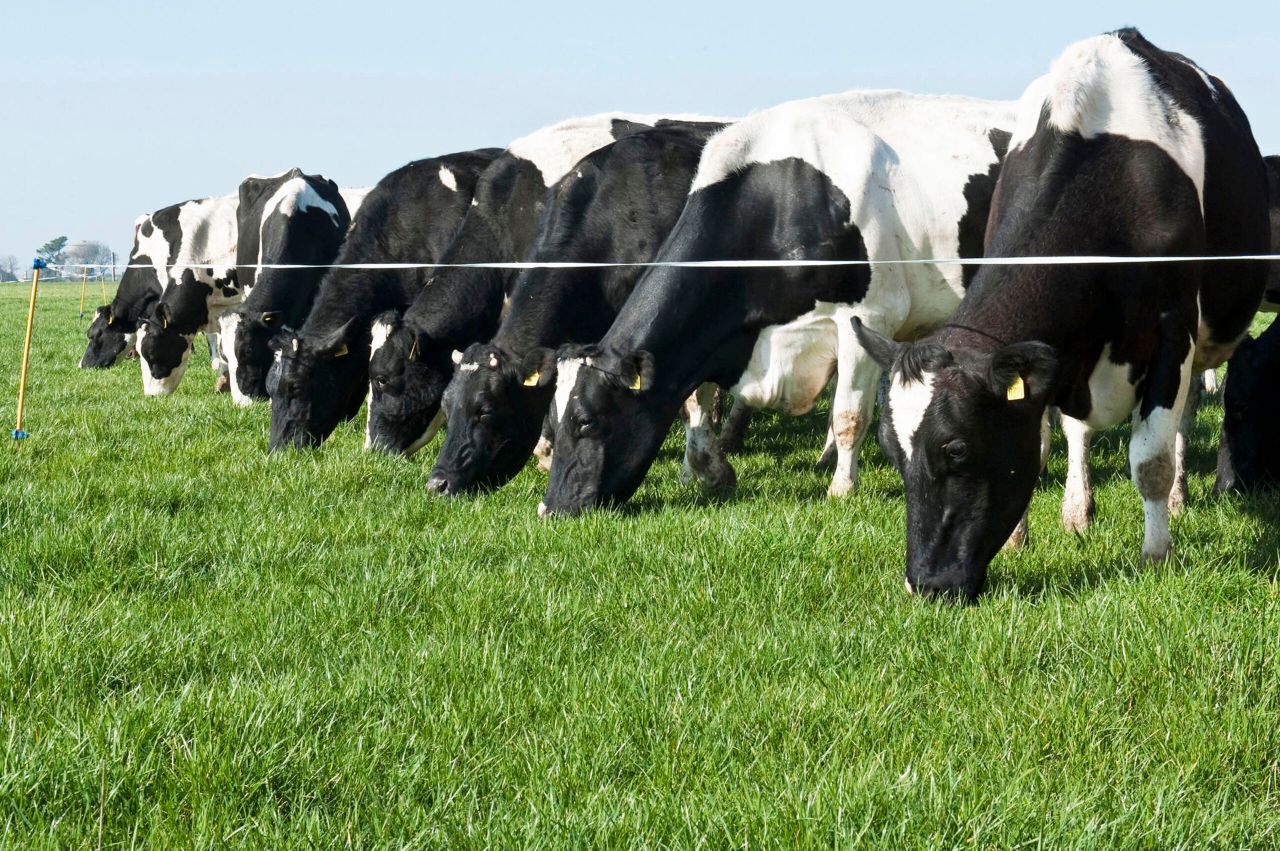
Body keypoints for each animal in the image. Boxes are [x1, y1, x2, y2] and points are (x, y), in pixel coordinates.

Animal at [534, 91, 1017, 517]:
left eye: (585, 420)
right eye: (551, 425)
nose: (551, 508)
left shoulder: (869, 317)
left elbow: (848, 414)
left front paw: (841, 489)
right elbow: (694, 408)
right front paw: (713, 474)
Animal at [850, 29, 1269, 601]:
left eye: (956, 449)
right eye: (892, 453)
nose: (926, 585)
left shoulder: (1173, 331)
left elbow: (1150, 458)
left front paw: (1156, 555)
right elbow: (1043, 441)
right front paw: (1018, 539)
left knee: (1184, 416)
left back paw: (1179, 499)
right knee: (1079, 432)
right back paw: (1078, 510)